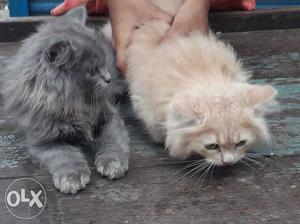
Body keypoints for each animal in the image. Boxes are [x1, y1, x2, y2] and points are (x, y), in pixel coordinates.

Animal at [1, 7, 130, 193]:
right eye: (92, 72)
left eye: (104, 64)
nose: (108, 79)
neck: (72, 104)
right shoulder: (43, 140)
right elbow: (64, 154)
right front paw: (72, 177)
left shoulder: (110, 116)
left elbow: (111, 139)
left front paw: (112, 163)